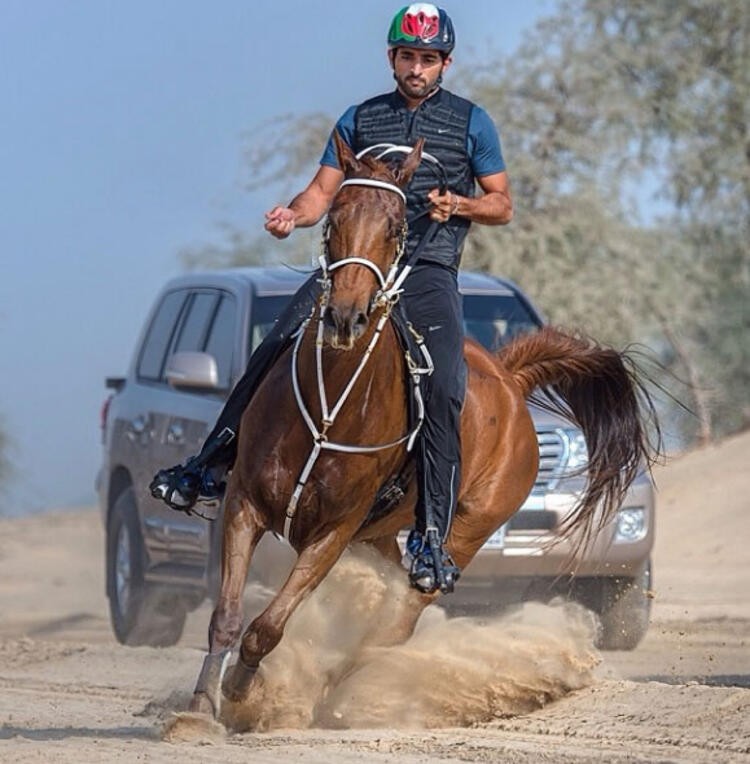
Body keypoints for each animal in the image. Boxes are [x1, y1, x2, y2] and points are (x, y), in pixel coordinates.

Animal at [188, 134, 656, 724]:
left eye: (395, 227)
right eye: (334, 217)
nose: (345, 317)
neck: (328, 405)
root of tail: (512, 377)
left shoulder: (332, 533)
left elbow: (267, 627)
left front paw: (243, 692)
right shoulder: (244, 505)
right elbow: (227, 616)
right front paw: (200, 706)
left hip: (466, 530)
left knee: (399, 622)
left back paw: (340, 691)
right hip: (380, 535)